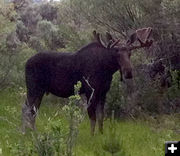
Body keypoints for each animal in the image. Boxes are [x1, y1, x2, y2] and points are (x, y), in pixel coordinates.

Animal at [21, 27, 153, 135]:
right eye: (117, 53)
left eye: (130, 53)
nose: (128, 72)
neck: (107, 70)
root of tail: (26, 63)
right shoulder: (90, 91)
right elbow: (92, 116)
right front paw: (92, 136)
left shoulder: (103, 92)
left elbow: (101, 116)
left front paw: (101, 134)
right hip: (33, 87)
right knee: (26, 109)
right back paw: (27, 133)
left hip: (40, 90)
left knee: (32, 110)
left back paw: (32, 132)